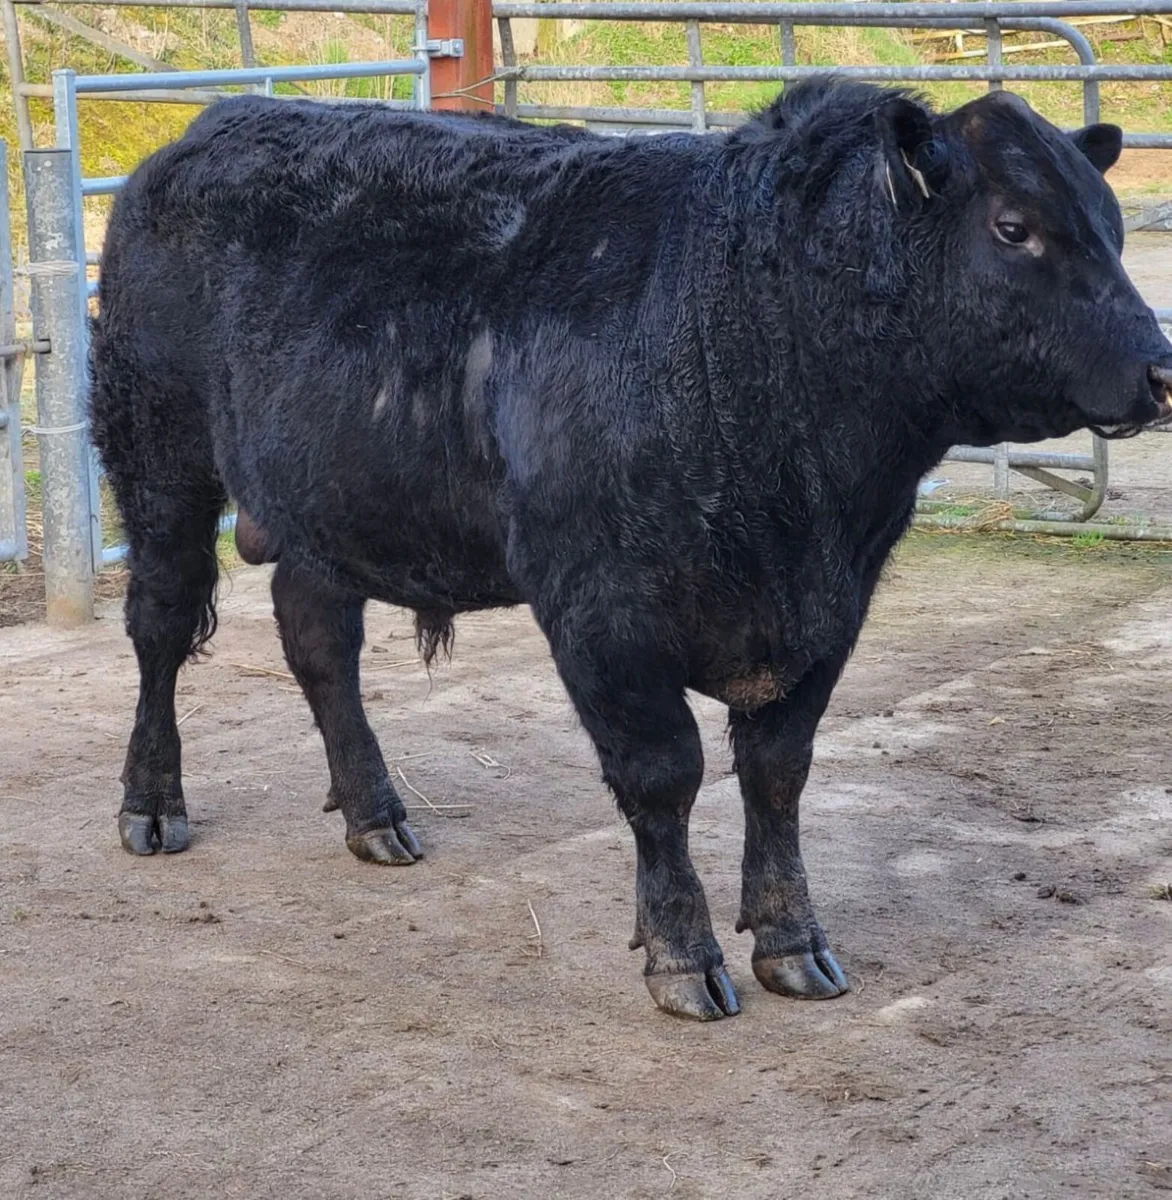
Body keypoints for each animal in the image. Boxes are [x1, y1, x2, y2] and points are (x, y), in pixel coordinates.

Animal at [90, 80, 1172, 1021]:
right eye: (1013, 227)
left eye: (1115, 229)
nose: (1160, 369)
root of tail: (212, 125)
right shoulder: (601, 608)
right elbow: (664, 775)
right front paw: (684, 957)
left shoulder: (832, 607)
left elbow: (777, 771)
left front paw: (792, 942)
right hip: (158, 453)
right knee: (159, 625)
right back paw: (152, 806)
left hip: (331, 500)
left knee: (318, 639)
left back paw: (375, 815)